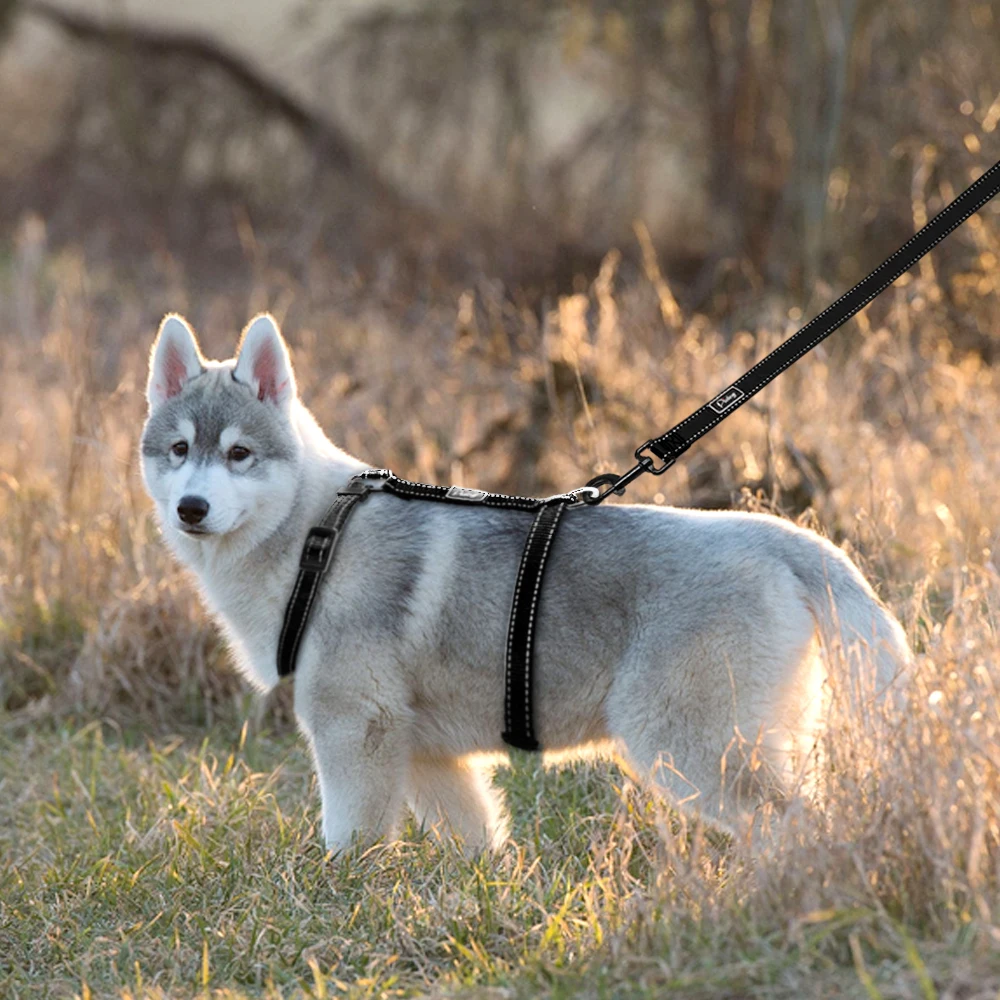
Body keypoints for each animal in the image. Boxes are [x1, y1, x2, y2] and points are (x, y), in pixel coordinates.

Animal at [143, 312, 916, 852]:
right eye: (179, 449)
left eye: (239, 454)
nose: (192, 509)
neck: (316, 536)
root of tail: (785, 540)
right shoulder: (427, 753)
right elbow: (478, 843)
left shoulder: (354, 727)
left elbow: (348, 842)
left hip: (687, 743)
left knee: (795, 824)